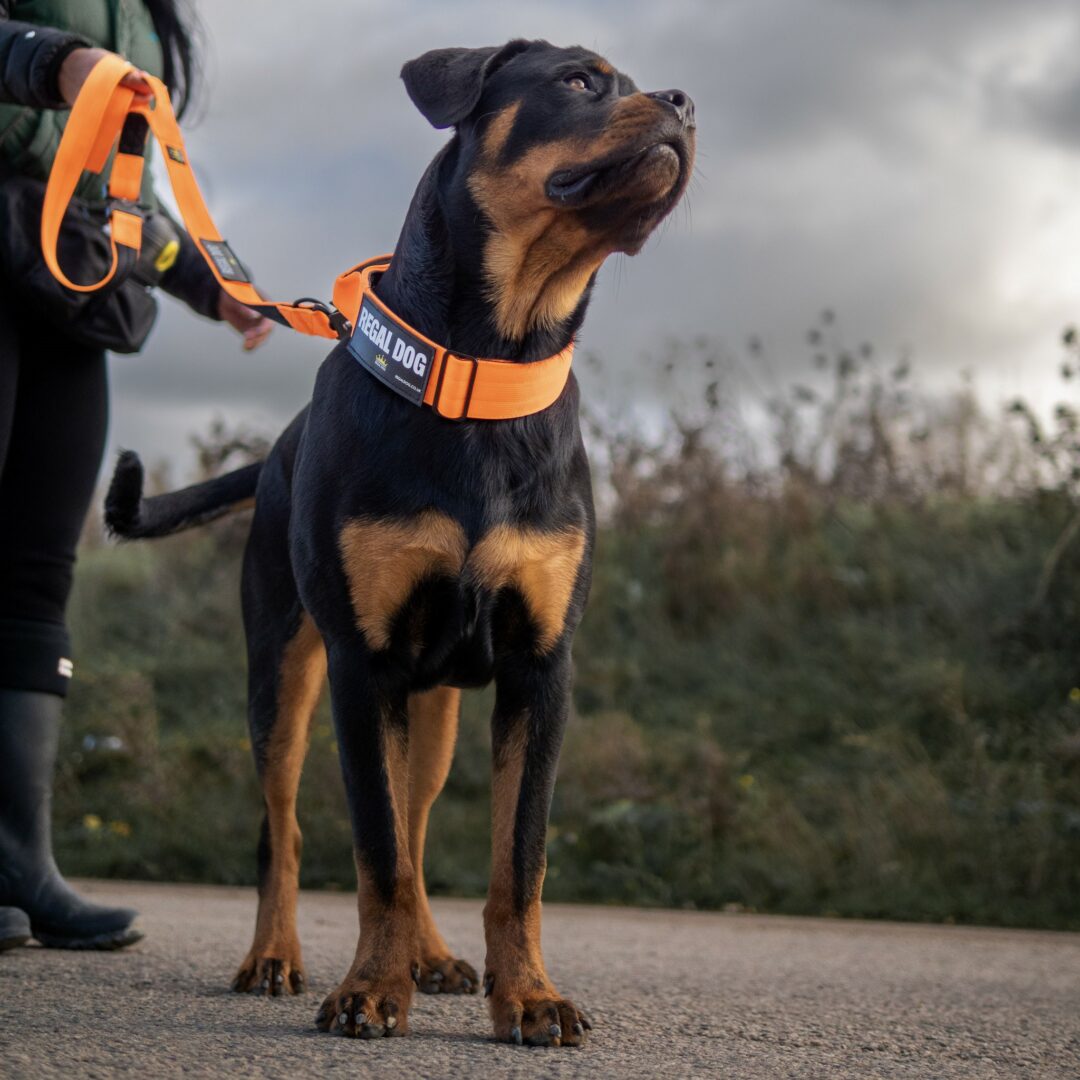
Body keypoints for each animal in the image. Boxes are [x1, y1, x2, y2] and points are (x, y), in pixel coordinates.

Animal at [103, 39, 691, 1045]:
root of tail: (276, 452)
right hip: (284, 675)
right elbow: (375, 853)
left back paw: (433, 956)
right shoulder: (361, 662)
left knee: (416, 826)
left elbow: (515, 863)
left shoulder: (540, 667)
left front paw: (528, 996)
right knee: (286, 829)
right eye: (579, 79)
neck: (481, 369)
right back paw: (274, 957)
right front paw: (369, 990)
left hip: (438, 706)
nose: (687, 103)